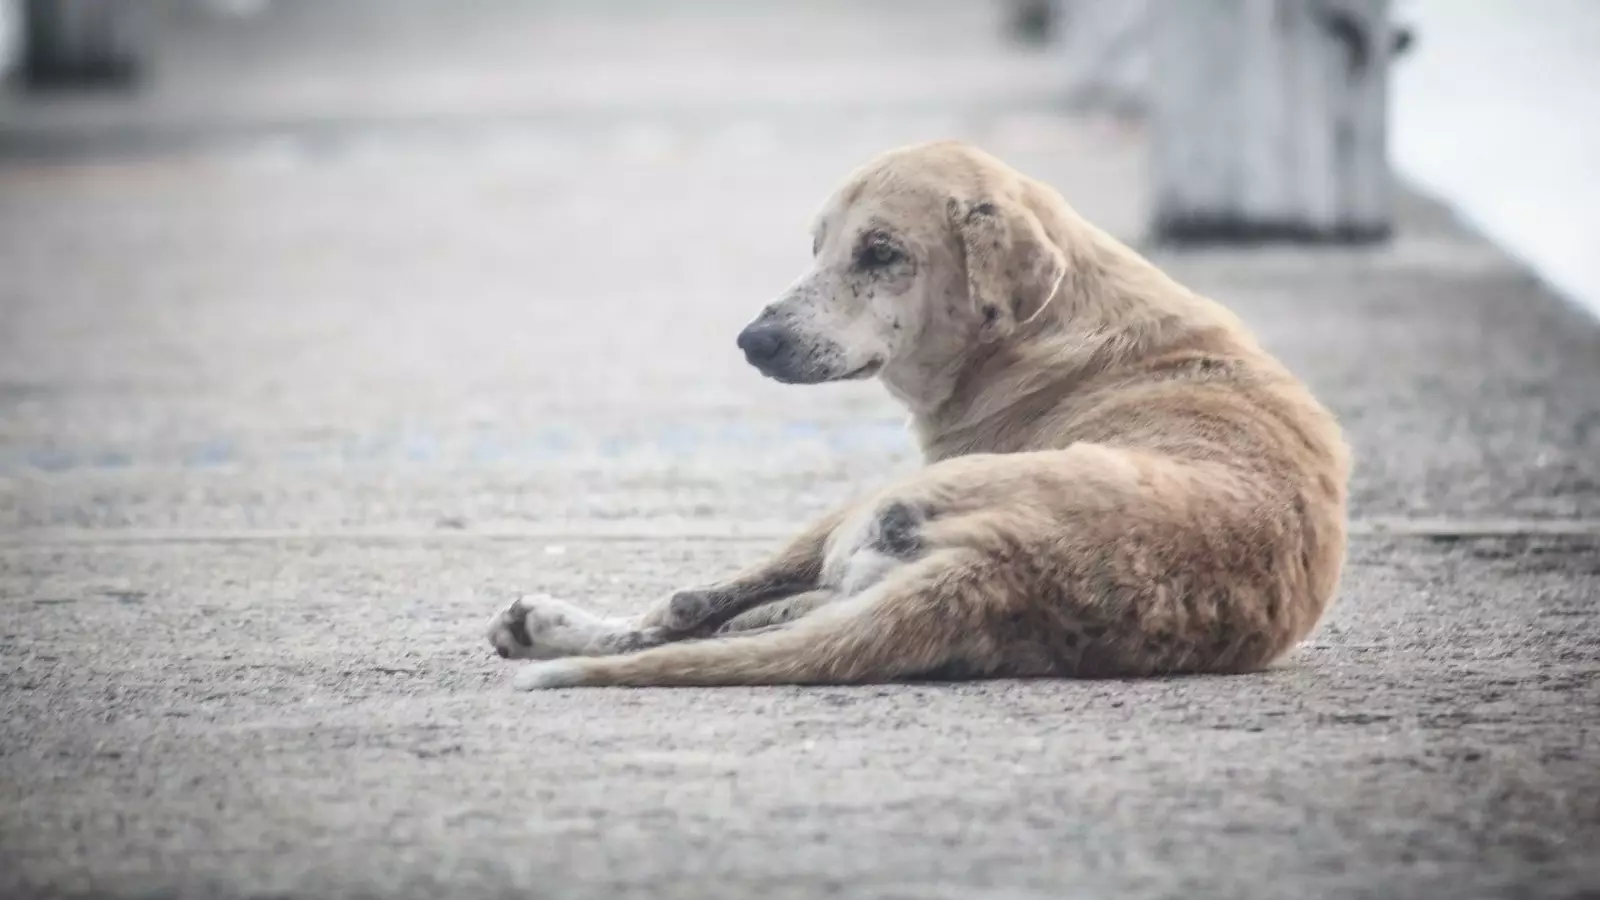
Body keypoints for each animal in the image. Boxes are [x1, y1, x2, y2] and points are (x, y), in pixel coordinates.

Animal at [486, 138, 1350, 685]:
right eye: (817, 247)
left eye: (881, 253)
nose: (752, 341)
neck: (1048, 323)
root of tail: (1001, 566)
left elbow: (694, 602)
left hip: (867, 507)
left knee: (687, 612)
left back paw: (554, 628)